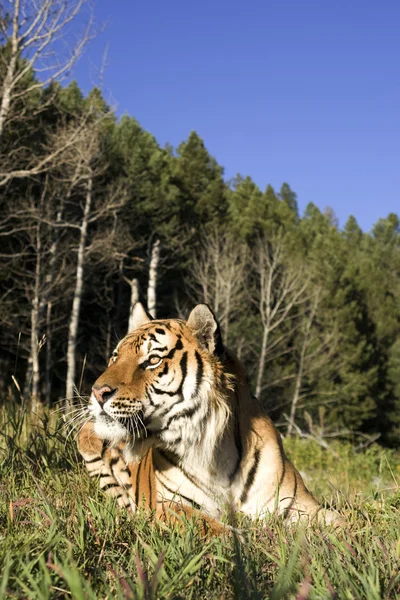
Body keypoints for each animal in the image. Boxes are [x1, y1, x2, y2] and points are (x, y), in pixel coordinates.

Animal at [77, 302, 340, 532]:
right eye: (115, 356)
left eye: (153, 360)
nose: (97, 392)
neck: (216, 453)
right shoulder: (168, 506)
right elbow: (216, 529)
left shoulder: (301, 505)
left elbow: (342, 523)